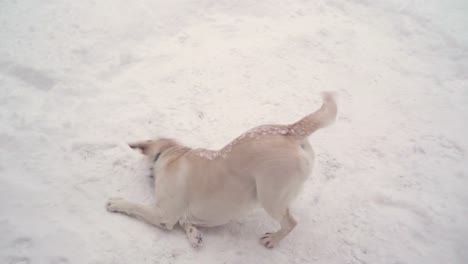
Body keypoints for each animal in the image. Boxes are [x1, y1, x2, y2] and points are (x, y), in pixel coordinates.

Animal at [107, 92, 336, 249]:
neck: (171, 153)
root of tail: (291, 130)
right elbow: (186, 221)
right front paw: (194, 234)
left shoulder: (164, 214)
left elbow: (136, 206)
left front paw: (115, 203)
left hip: (270, 196)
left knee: (291, 222)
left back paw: (272, 239)